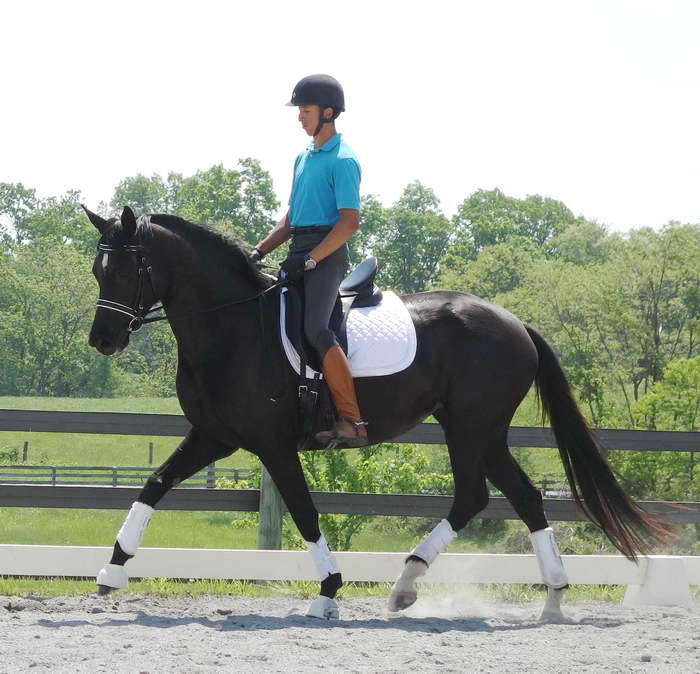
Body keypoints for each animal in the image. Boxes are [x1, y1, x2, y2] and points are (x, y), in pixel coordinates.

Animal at [82, 206, 668, 620]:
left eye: (128, 269)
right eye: (96, 269)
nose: (102, 340)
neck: (234, 328)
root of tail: (514, 321)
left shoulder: (271, 444)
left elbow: (305, 512)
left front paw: (327, 592)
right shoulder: (213, 435)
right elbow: (154, 484)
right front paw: (111, 572)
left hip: (472, 426)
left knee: (477, 496)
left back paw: (410, 583)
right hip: (480, 430)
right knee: (517, 497)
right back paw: (545, 597)